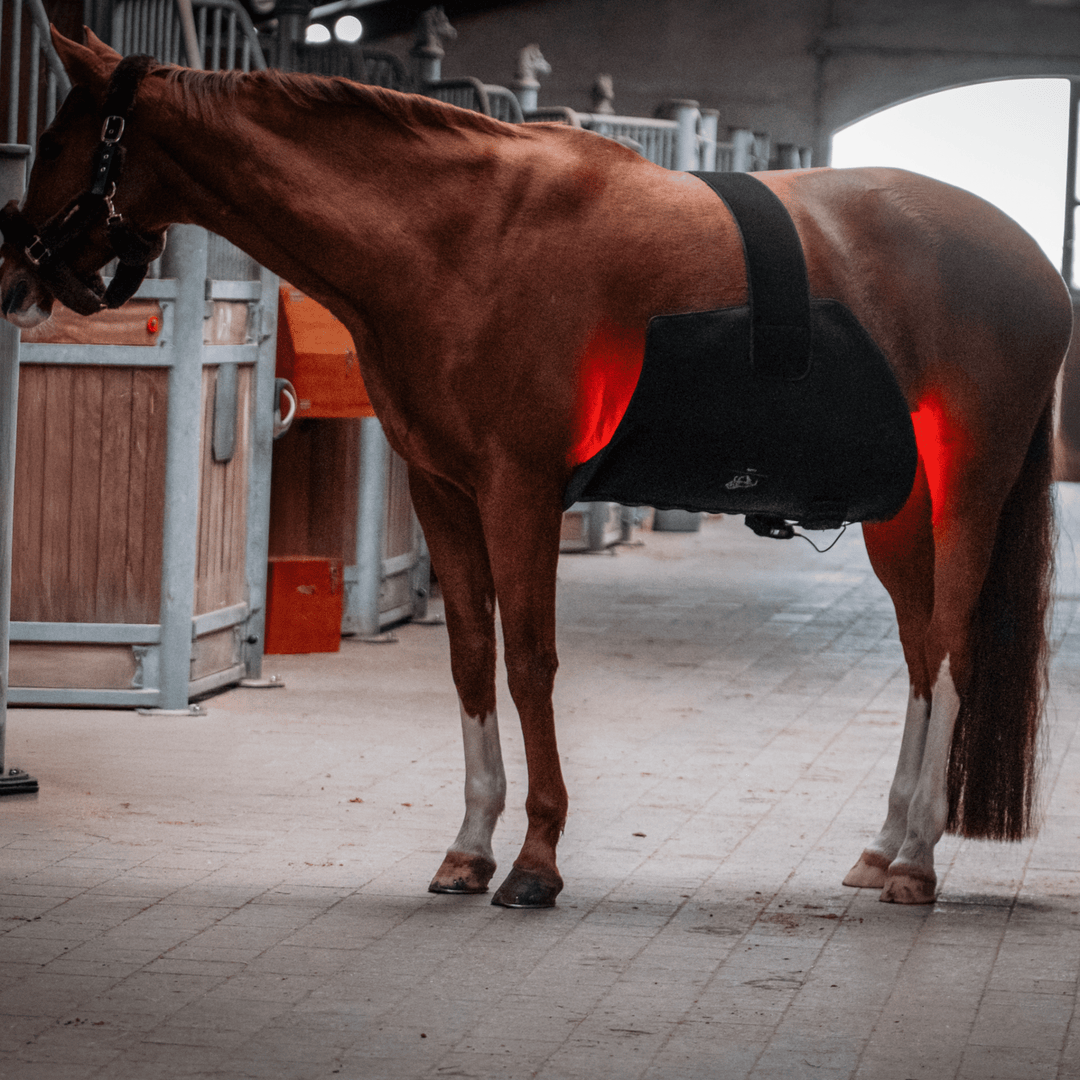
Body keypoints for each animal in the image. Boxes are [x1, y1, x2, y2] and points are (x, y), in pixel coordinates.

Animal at [1, 27, 1071, 909]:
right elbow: (473, 657)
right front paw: (469, 848)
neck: (462, 237)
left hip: (966, 494)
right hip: (901, 512)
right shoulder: (442, 490)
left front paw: (535, 861)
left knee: (953, 649)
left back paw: (920, 861)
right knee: (922, 654)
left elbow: (529, 661)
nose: (16, 277)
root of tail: (1030, 261)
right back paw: (884, 849)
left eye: (56, 139)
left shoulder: (519, 489)